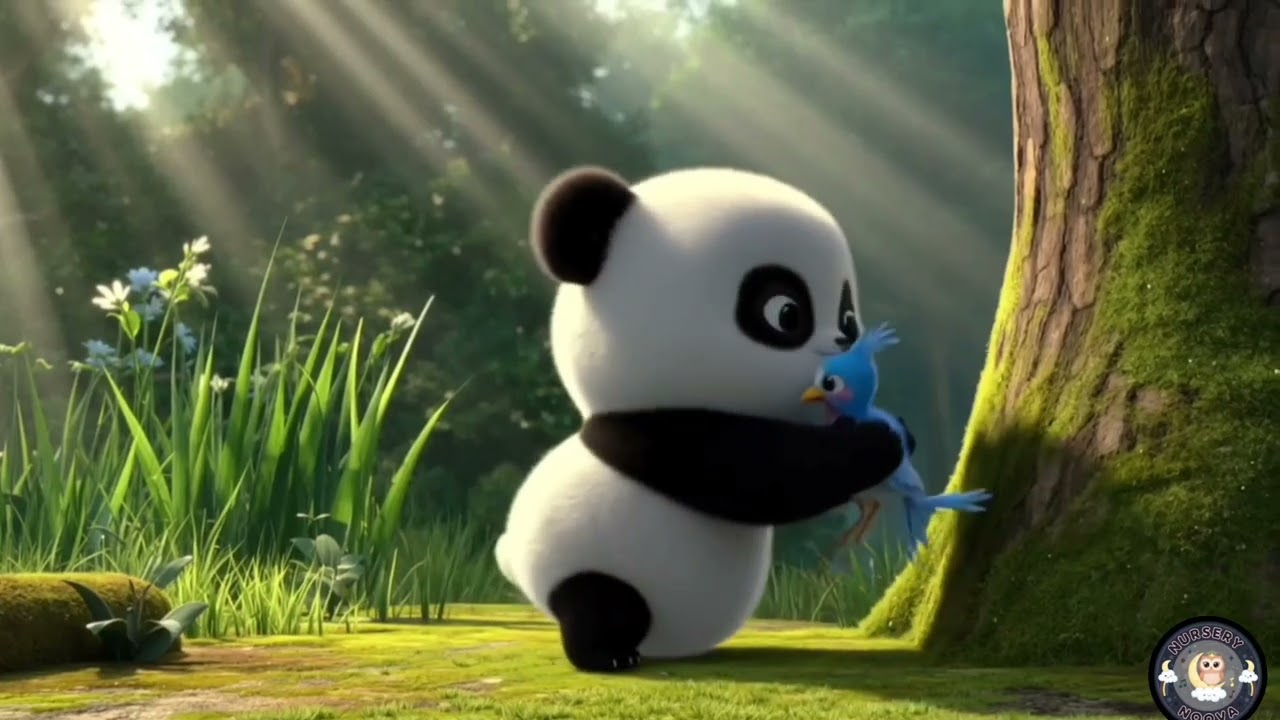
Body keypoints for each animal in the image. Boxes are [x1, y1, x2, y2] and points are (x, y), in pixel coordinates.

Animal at [494, 165, 909, 673]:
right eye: (785, 313)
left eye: (848, 316)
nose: (847, 346)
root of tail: (513, 552)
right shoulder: (662, 433)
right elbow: (764, 477)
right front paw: (882, 442)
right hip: (584, 560)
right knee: (599, 601)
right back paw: (608, 653)